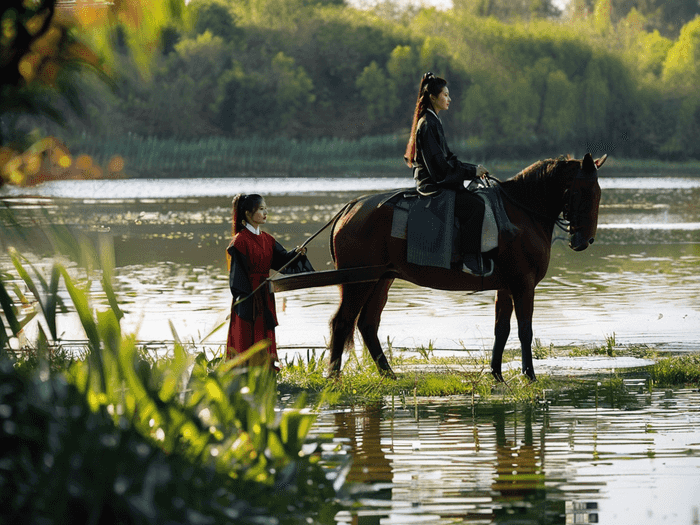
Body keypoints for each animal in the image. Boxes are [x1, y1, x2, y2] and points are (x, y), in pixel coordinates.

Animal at [328, 151, 608, 380]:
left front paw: (496, 374)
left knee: (367, 324)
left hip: (380, 280)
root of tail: (350, 208)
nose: (585, 240)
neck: (521, 212)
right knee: (342, 322)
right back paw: (333, 376)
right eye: (586, 192)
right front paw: (529, 375)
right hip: (359, 282)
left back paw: (388, 373)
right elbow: (524, 331)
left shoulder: (506, 287)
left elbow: (501, 329)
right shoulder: (523, 285)